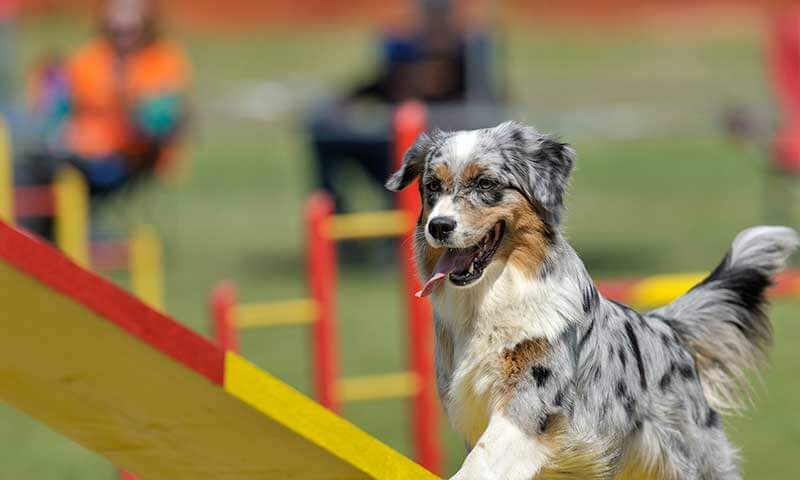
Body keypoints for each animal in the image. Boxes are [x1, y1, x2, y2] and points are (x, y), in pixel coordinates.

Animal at [386, 123, 792, 480]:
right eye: (432, 186)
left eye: (486, 183)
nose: (438, 226)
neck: (488, 301)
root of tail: (665, 328)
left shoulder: (530, 406)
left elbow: (481, 462)